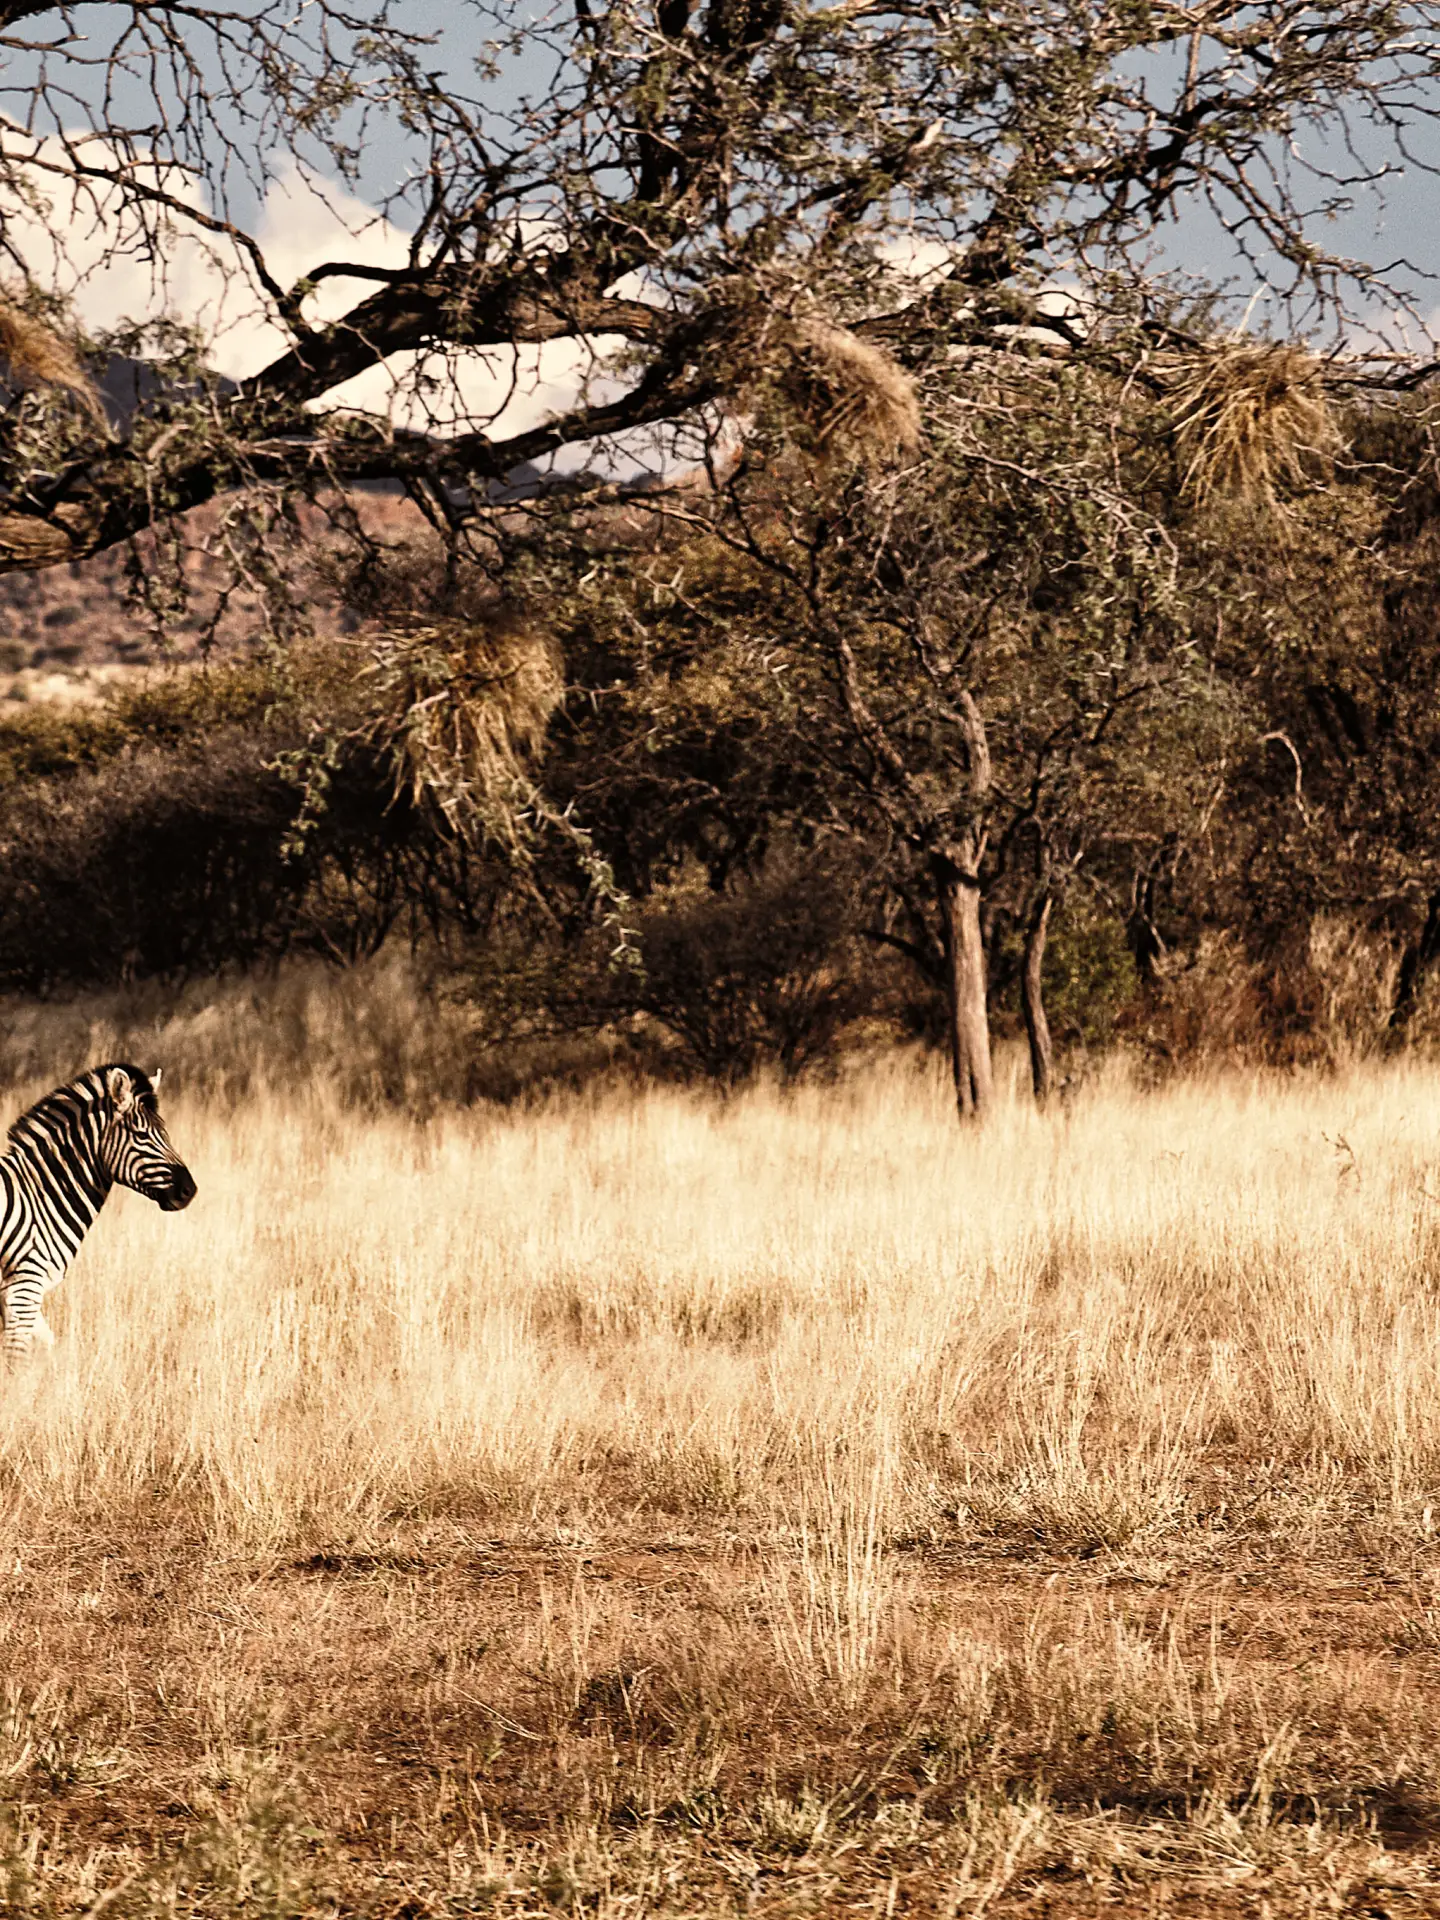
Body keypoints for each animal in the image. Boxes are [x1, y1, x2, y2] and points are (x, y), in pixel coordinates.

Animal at [0, 1064, 195, 1360]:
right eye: (142, 1135)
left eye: (165, 1132)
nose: (189, 1190)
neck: (38, 1193)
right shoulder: (24, 1286)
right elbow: (16, 1358)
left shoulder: (16, 1293)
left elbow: (47, 1343)